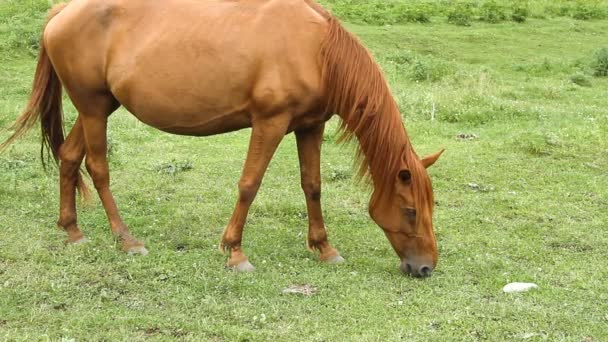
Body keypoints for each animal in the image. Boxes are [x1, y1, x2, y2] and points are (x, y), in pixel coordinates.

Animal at [0, 0, 442, 278]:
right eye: (410, 211)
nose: (425, 267)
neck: (316, 50)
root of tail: (62, 12)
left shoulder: (309, 126)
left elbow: (312, 186)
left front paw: (324, 248)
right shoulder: (269, 123)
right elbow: (249, 185)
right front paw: (235, 252)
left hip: (100, 106)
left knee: (69, 155)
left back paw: (73, 230)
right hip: (93, 109)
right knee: (97, 166)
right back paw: (126, 240)